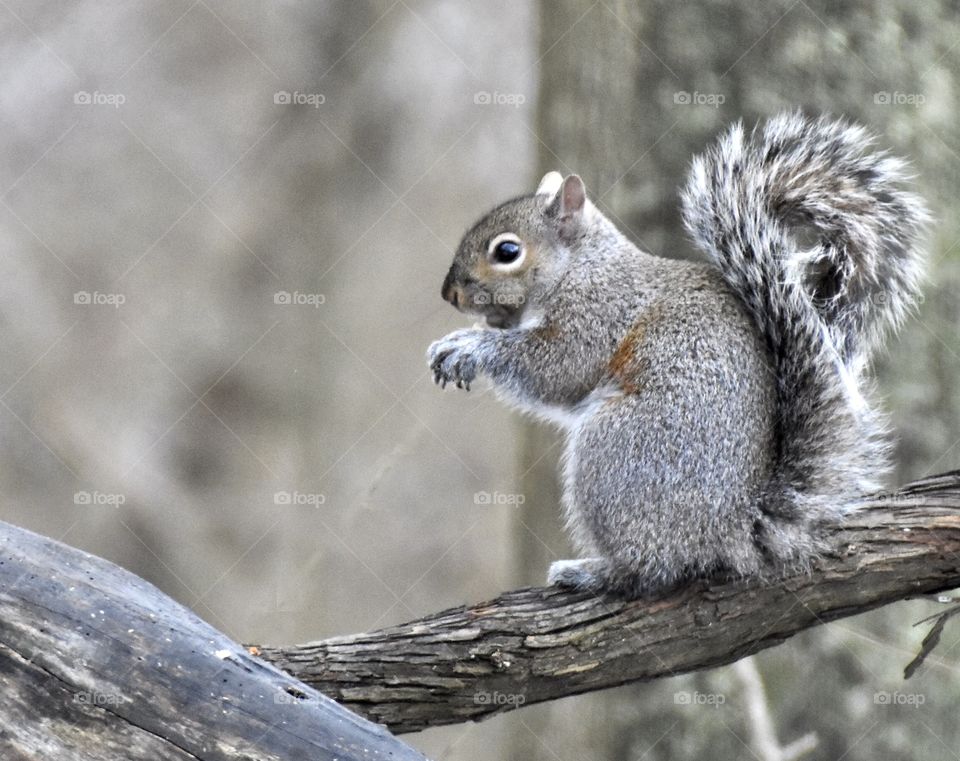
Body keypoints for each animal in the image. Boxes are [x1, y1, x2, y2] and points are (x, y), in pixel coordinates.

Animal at [424, 111, 928, 592]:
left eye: (507, 251)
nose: (450, 293)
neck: (581, 267)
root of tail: (730, 529)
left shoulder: (598, 315)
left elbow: (557, 371)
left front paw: (470, 346)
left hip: (614, 452)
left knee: (649, 568)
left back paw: (596, 572)